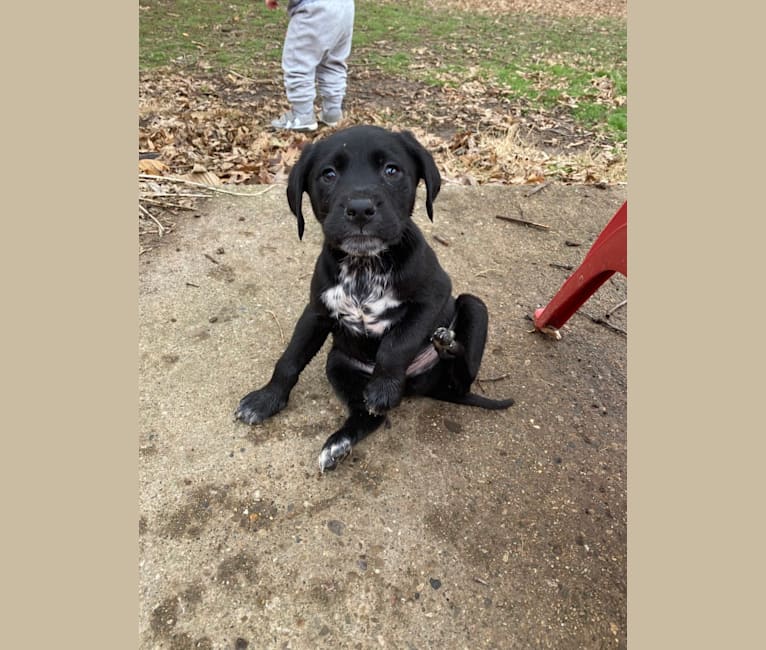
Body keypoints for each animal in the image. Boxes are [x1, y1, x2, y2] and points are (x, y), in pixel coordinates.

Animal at [237, 125, 512, 470]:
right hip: (337, 364)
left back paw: (446, 344)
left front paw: (383, 388)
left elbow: (397, 344)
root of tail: (422, 386)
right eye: (328, 174)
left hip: (474, 305)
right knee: (369, 416)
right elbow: (290, 358)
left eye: (391, 171)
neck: (364, 266)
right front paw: (267, 399)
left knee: (461, 378)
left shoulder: (434, 296)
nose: (359, 208)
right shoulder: (317, 312)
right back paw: (339, 443)